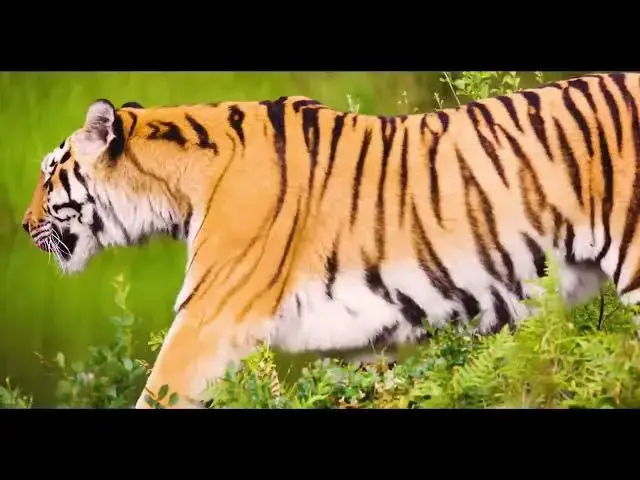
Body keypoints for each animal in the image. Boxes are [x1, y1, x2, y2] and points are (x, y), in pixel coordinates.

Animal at [21, 72, 640, 408]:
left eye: (50, 173)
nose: (25, 226)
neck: (177, 191)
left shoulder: (211, 316)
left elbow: (157, 393)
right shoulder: (360, 338)